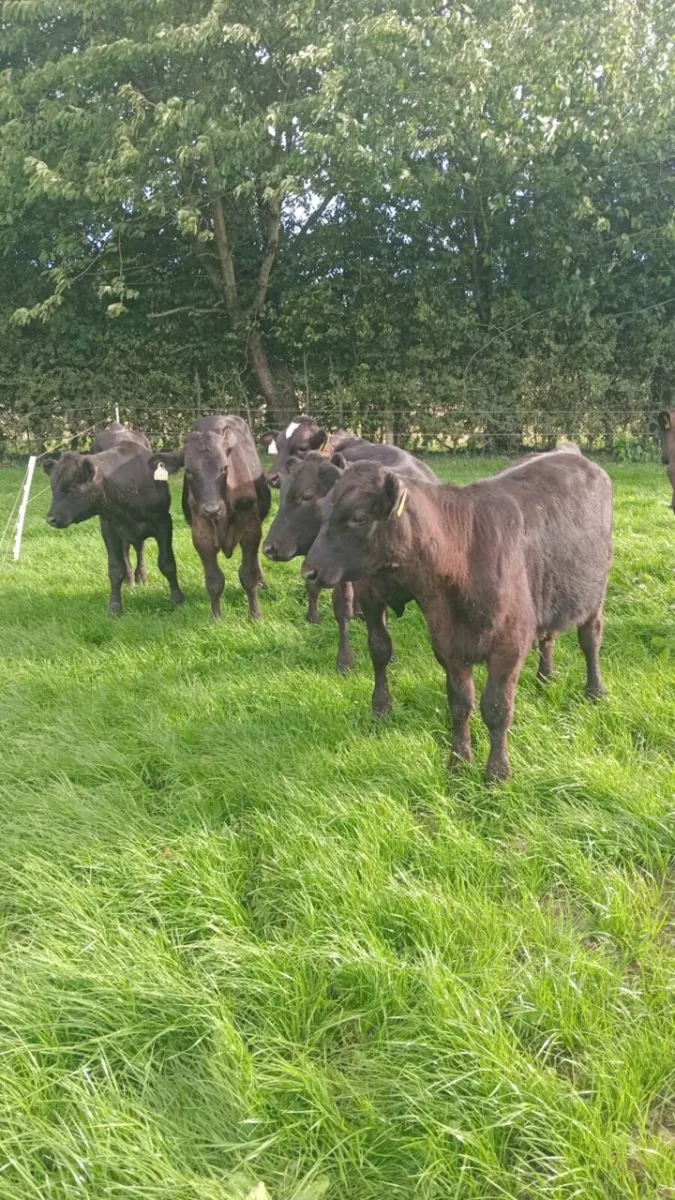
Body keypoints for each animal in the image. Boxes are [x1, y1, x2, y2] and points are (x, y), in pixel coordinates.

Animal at [43, 421, 184, 616]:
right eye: (53, 488)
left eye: (70, 487)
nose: (51, 518)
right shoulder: (109, 528)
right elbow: (116, 568)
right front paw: (115, 608)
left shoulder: (163, 522)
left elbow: (167, 563)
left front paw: (178, 600)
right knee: (127, 553)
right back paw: (131, 580)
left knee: (140, 549)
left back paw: (141, 577)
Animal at [149, 415, 270, 620]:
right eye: (189, 471)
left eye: (225, 468)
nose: (212, 509)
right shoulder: (201, 534)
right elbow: (214, 580)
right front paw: (216, 618)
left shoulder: (251, 530)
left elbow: (248, 574)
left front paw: (255, 615)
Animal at [302, 446, 612, 783]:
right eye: (324, 509)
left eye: (359, 517)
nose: (309, 571)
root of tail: (571, 452)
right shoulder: (447, 645)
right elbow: (460, 703)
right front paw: (459, 762)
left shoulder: (508, 646)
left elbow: (497, 708)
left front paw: (497, 773)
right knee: (549, 636)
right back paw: (545, 678)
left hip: (595, 595)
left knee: (590, 640)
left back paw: (594, 691)